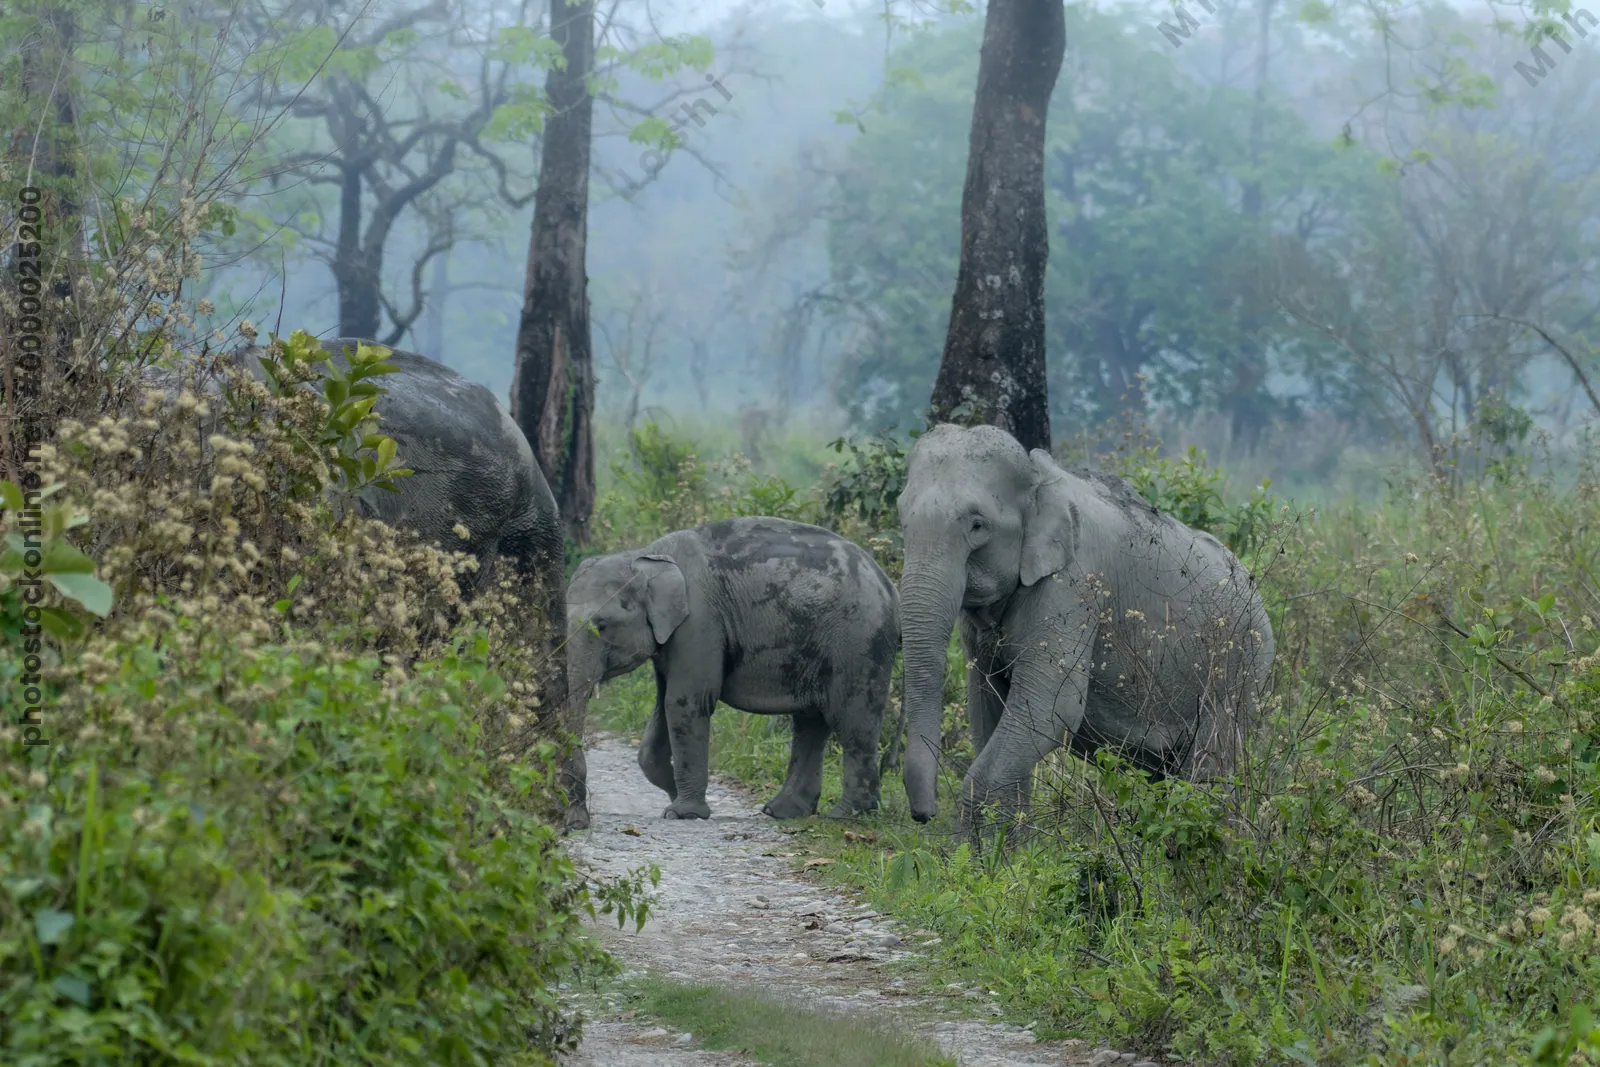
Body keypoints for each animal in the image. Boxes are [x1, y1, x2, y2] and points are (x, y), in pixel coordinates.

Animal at [566, 516, 900, 821]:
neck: (647, 555)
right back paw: (783, 812)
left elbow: (685, 702)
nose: (582, 813)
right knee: (811, 724)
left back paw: (846, 816)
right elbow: (663, 705)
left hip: (859, 641)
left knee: (853, 722)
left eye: (602, 625)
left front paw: (682, 813)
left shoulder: (700, 622)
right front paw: (674, 797)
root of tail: (889, 585)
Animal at [895, 423, 1274, 837]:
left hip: (1241, 671)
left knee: (1209, 767)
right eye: (901, 517)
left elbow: (1051, 709)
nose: (923, 815)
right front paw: (1000, 848)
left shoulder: (1072, 585)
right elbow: (986, 707)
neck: (1039, 477)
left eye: (978, 525)